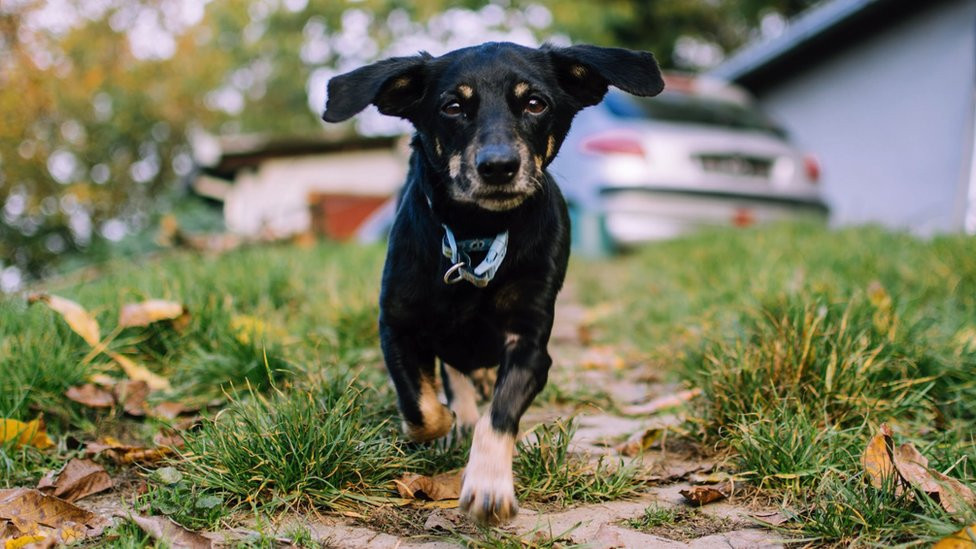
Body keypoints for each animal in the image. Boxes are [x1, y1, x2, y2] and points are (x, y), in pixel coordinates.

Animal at [324, 41, 660, 524]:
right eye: (452, 106)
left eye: (535, 103)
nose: (499, 166)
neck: (476, 233)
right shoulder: (397, 325)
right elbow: (422, 408)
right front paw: (445, 424)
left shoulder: (530, 345)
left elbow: (498, 415)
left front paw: (488, 484)